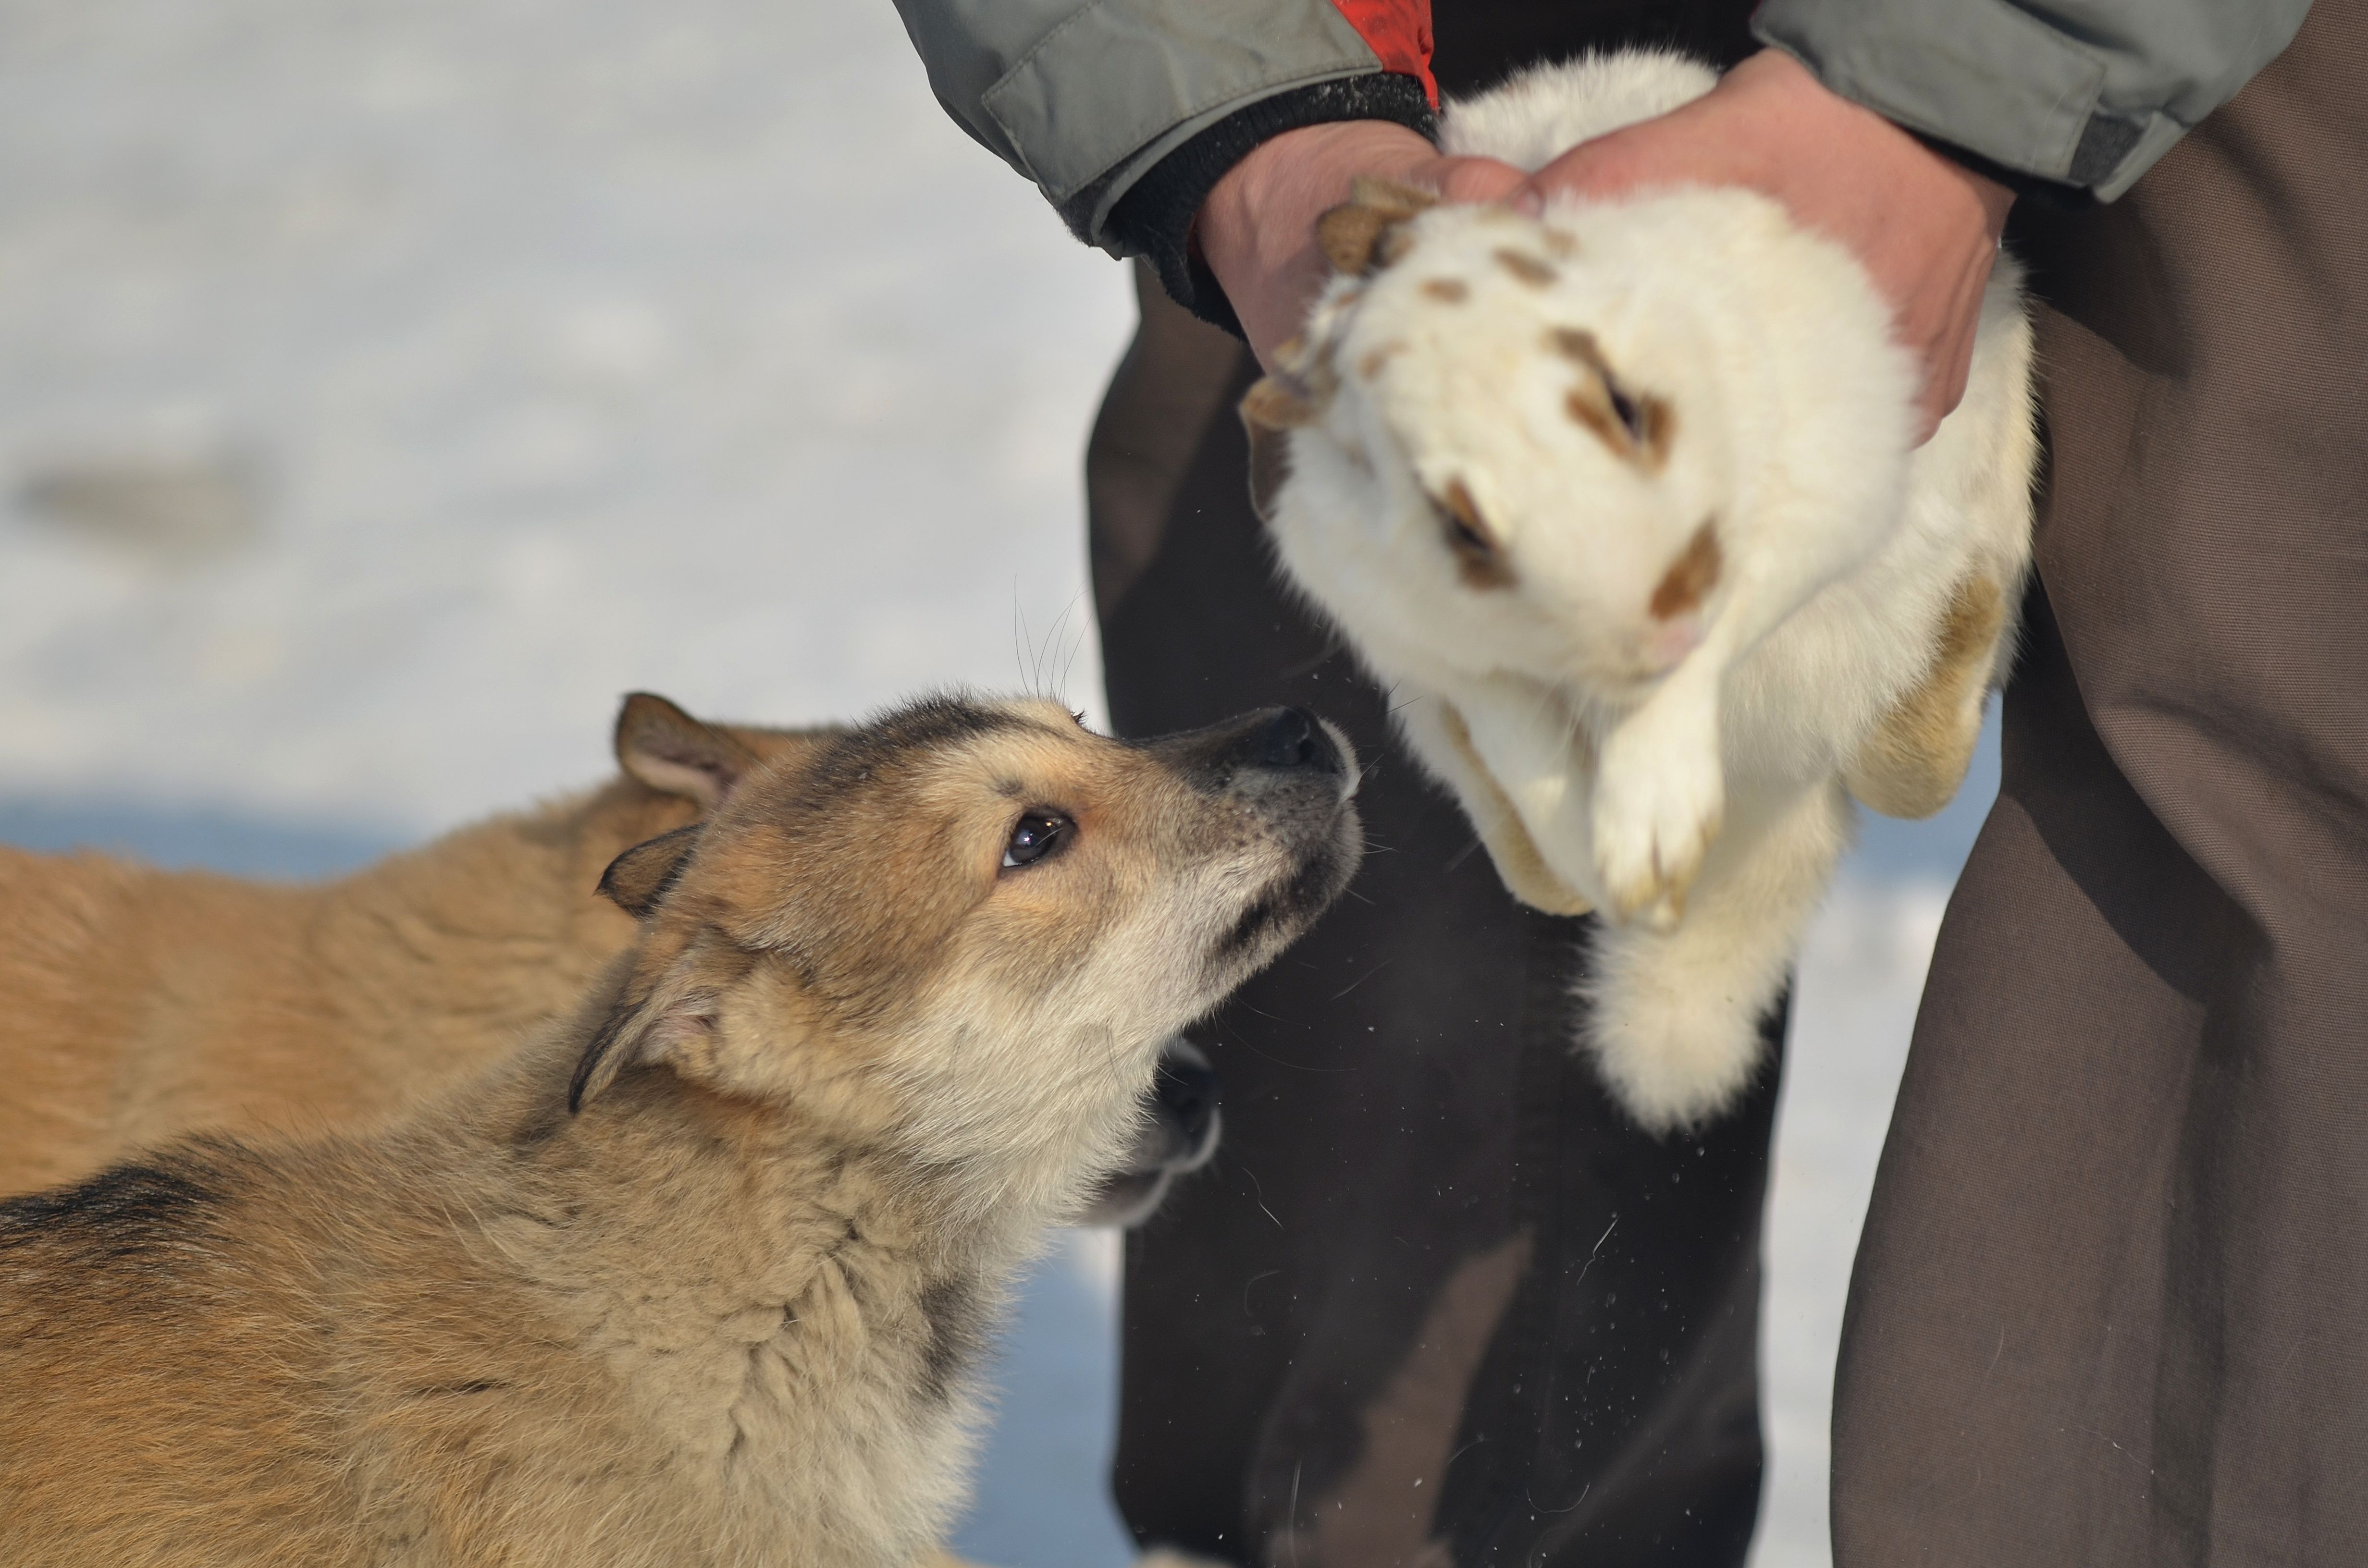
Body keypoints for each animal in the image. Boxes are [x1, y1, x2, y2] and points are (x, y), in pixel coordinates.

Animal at [1246, 50, 2036, 1131]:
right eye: (1449, 513)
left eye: (1622, 405)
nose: (1638, 620)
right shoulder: (1447, 656)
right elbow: (1527, 747)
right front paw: (1629, 861)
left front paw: (1652, 827)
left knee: (1911, 754)